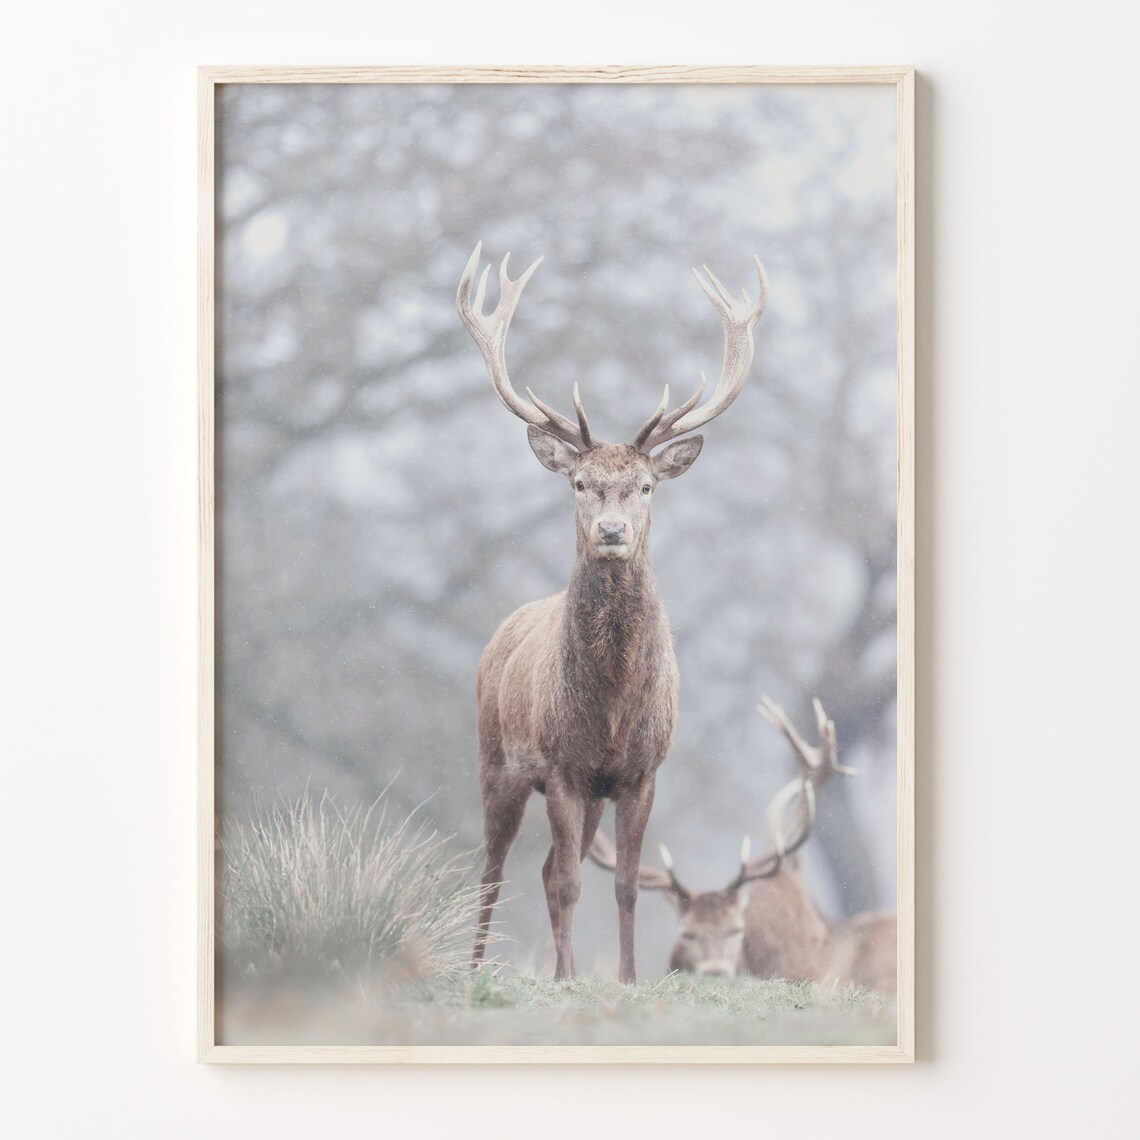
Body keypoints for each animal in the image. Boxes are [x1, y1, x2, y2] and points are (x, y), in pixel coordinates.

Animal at [457, 243, 769, 982]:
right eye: (580, 482)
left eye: (647, 485)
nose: (611, 530)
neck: (612, 701)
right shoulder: (561, 766)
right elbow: (573, 882)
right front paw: (569, 980)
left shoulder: (639, 772)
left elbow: (624, 884)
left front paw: (625, 978)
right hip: (495, 758)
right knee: (496, 868)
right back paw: (481, 967)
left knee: (544, 869)